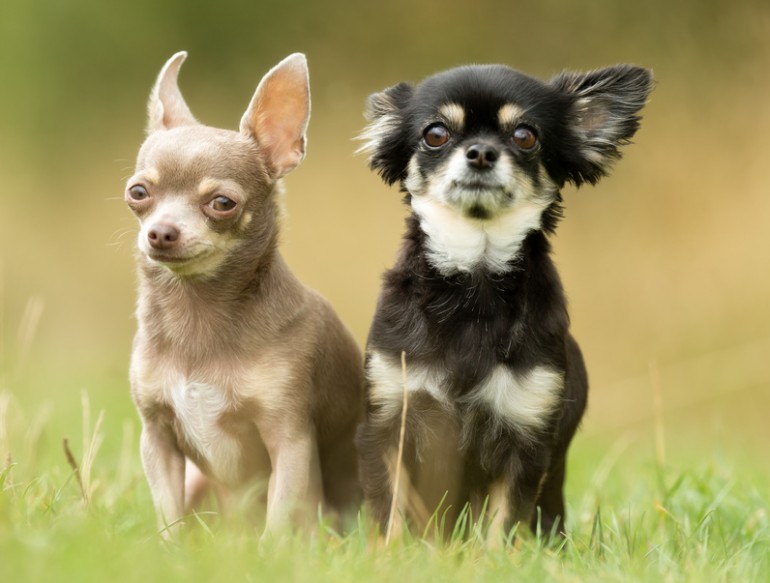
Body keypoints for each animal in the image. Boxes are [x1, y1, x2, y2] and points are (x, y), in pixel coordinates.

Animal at [125, 52, 364, 536]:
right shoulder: (156, 438)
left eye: (222, 203)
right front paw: (170, 549)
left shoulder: (288, 442)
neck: (197, 312)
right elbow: (168, 516)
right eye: (138, 193)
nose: (160, 232)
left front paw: (271, 552)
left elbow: (279, 520)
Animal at [354, 61, 648, 540]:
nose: (480, 152)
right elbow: (390, 515)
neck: (473, 280)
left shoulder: (525, 438)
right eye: (435, 133)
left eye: (525, 136)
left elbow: (503, 525)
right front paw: (389, 553)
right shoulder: (386, 426)